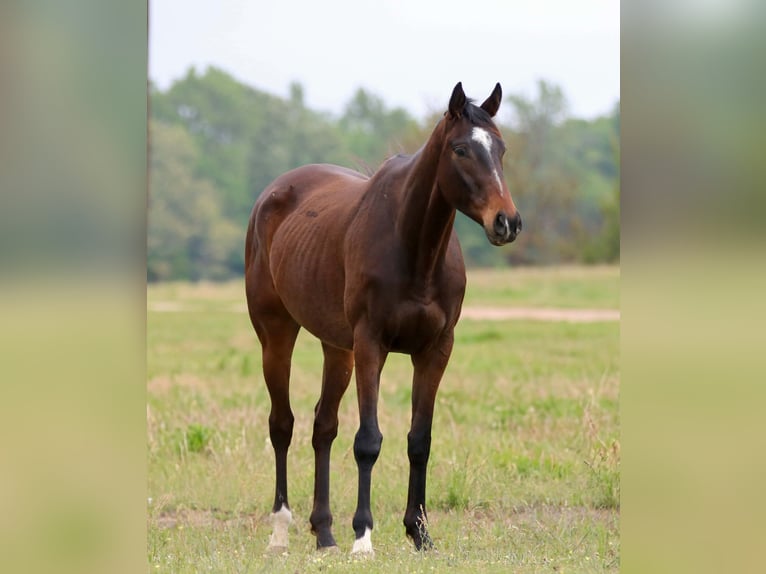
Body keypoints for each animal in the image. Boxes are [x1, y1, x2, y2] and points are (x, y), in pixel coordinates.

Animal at [244, 82, 521, 555]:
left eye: (500, 148)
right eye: (461, 149)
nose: (507, 222)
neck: (414, 249)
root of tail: (273, 194)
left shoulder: (435, 350)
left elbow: (419, 441)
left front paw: (420, 533)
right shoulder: (372, 345)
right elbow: (368, 441)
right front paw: (364, 537)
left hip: (337, 348)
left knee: (323, 426)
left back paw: (325, 533)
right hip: (277, 334)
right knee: (282, 425)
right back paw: (280, 532)